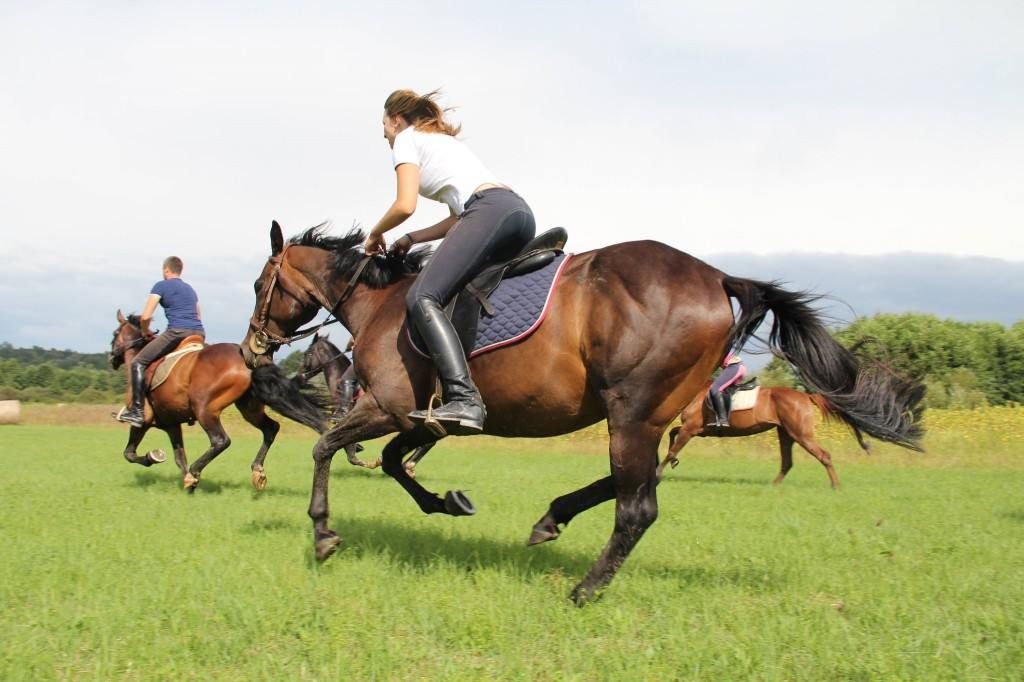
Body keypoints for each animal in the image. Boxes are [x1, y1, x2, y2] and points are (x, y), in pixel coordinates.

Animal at [110, 310, 327, 491]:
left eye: (114, 334)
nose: (111, 358)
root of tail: (247, 361)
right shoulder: (172, 424)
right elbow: (180, 458)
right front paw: (187, 482)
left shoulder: (144, 421)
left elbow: (129, 453)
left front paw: (153, 458)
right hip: (249, 409)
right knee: (270, 428)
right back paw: (256, 471)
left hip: (205, 409)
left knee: (221, 441)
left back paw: (197, 471)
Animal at [656, 383, 873, 489]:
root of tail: (806, 396)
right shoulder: (698, 430)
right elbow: (672, 434)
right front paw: (672, 462)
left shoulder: (691, 429)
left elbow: (672, 448)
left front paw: (659, 472)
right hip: (786, 434)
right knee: (787, 462)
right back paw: (774, 485)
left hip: (801, 434)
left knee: (824, 455)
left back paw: (835, 485)